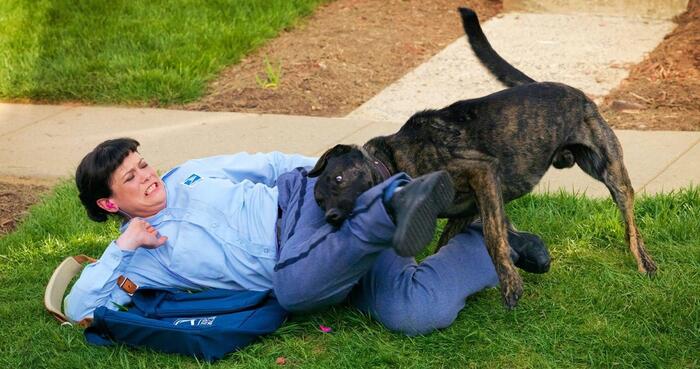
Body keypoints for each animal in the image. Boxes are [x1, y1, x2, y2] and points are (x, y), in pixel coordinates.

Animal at [308, 8, 656, 308]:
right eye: (319, 202)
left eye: (339, 178)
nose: (333, 218)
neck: (394, 162)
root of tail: (573, 91)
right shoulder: (467, 208)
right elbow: (445, 245)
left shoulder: (482, 173)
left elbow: (492, 236)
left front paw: (510, 283)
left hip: (609, 170)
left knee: (629, 218)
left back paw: (643, 260)